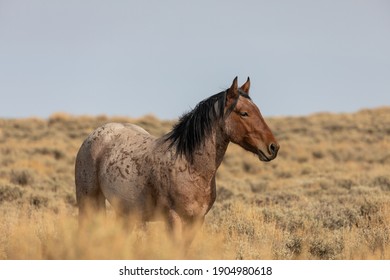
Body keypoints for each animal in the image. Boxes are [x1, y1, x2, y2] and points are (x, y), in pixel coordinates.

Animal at [74, 76, 278, 245]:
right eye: (244, 113)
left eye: (257, 110)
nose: (273, 147)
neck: (191, 166)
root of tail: (95, 135)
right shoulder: (174, 219)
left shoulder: (196, 220)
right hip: (88, 203)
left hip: (125, 212)